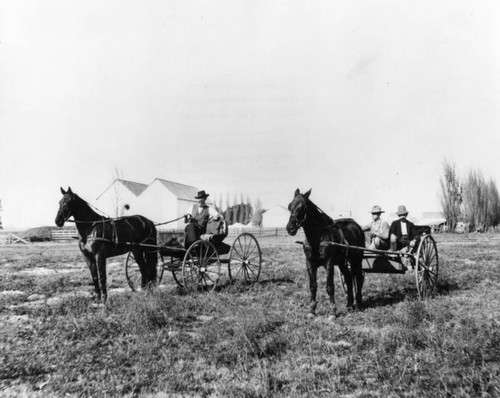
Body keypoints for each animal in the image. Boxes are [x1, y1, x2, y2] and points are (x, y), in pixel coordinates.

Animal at [288, 188, 366, 316]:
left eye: (302, 207)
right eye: (290, 206)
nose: (290, 228)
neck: (317, 238)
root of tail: (357, 227)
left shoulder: (329, 263)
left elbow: (329, 286)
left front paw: (333, 311)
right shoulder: (310, 263)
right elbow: (313, 286)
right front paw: (312, 309)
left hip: (356, 260)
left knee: (358, 277)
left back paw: (359, 305)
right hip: (342, 263)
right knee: (349, 278)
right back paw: (349, 305)